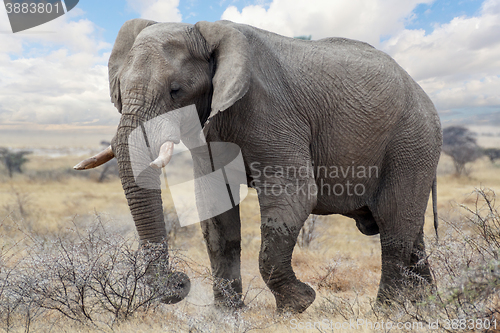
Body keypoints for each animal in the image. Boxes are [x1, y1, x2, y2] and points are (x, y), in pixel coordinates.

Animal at [74, 19, 442, 312]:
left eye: (175, 91)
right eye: (119, 92)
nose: (180, 281)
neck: (207, 34)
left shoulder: (271, 113)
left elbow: (294, 196)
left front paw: (299, 304)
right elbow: (215, 210)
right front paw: (227, 315)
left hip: (412, 141)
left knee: (394, 225)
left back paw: (387, 312)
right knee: (412, 233)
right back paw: (428, 308)